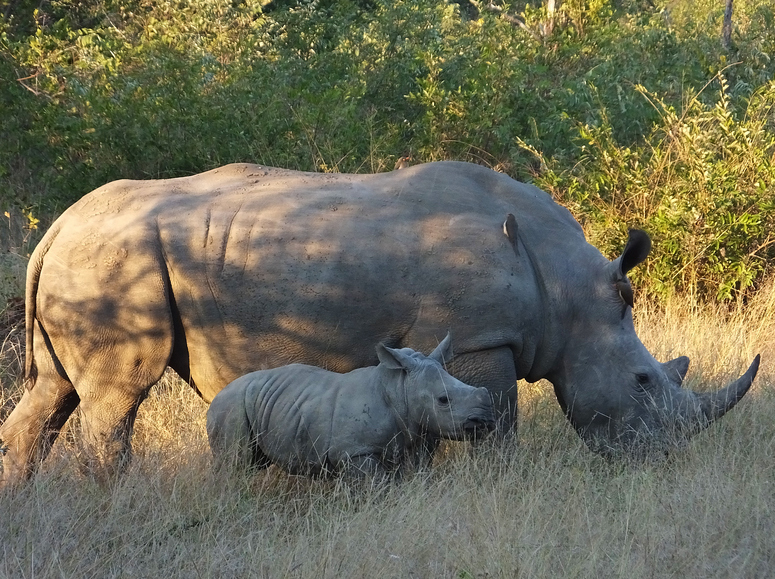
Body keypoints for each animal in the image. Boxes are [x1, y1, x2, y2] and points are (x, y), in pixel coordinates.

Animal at [206, 334, 498, 482]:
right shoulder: (354, 452)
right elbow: (377, 486)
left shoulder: (413, 435)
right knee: (236, 462)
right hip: (230, 407)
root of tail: (215, 398)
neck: (400, 388)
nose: (486, 421)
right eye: (443, 400)